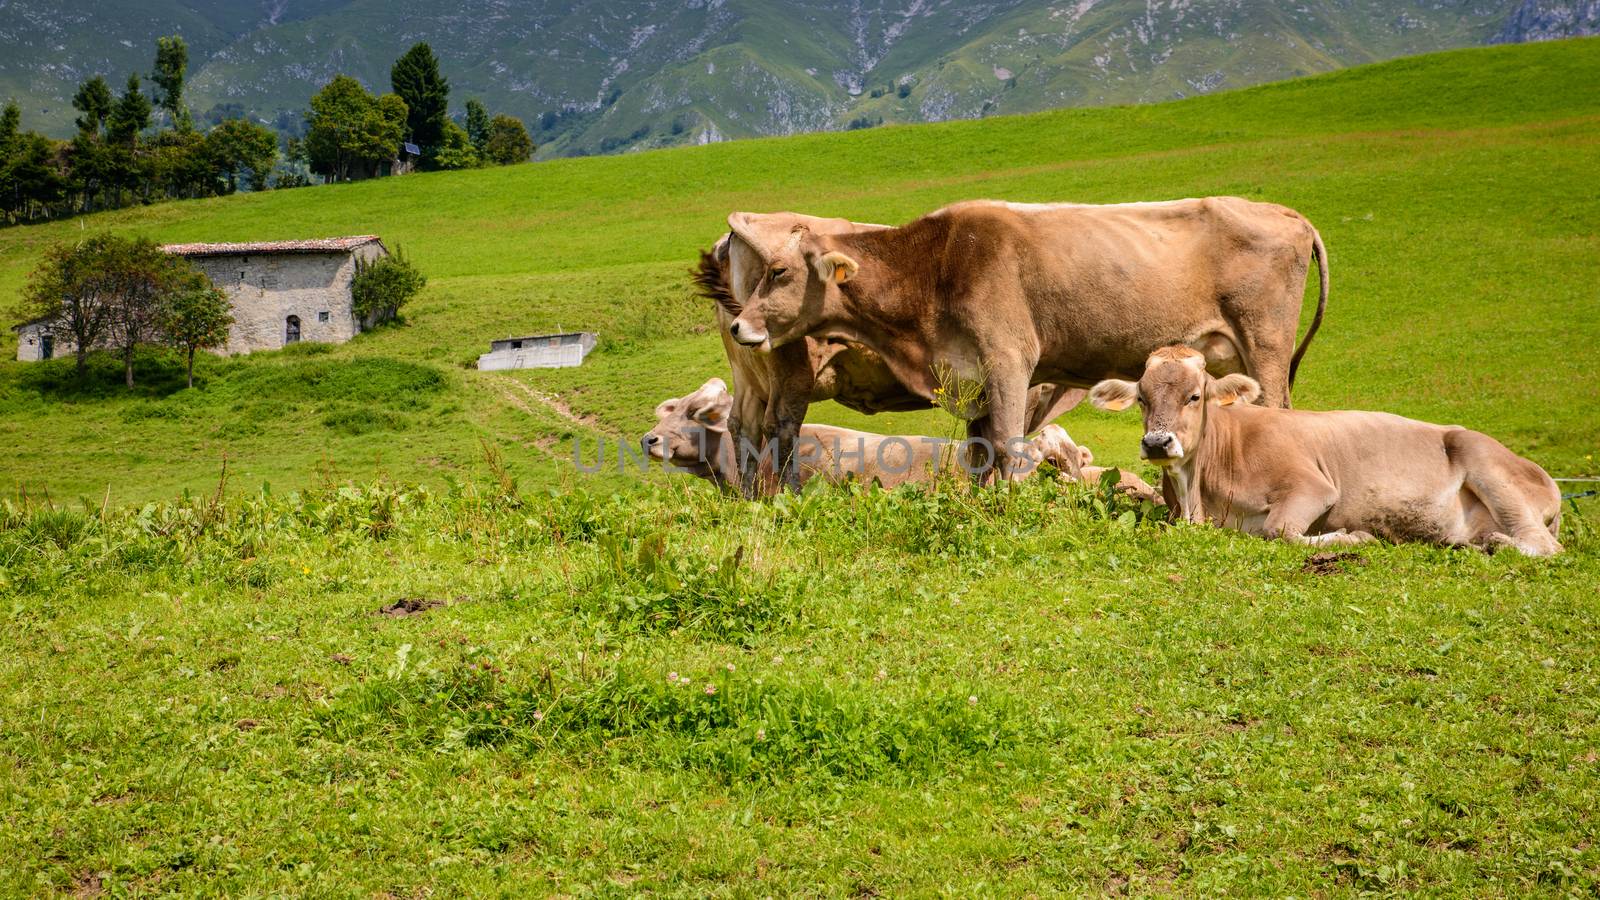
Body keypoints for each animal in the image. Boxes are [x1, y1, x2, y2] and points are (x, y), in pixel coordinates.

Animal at [723, 194, 1324, 477]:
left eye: (780, 272)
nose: (737, 323)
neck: (937, 262)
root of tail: (1286, 213)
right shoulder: (971, 378)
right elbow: (980, 453)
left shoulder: (1010, 361)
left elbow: (1009, 450)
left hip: (1265, 348)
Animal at [1088, 344, 1561, 550]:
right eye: (1143, 398)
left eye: (1194, 396)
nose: (1157, 442)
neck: (1198, 498)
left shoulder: (1311, 486)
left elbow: (1279, 531)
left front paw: (1356, 535)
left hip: (1485, 462)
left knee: (1542, 544)